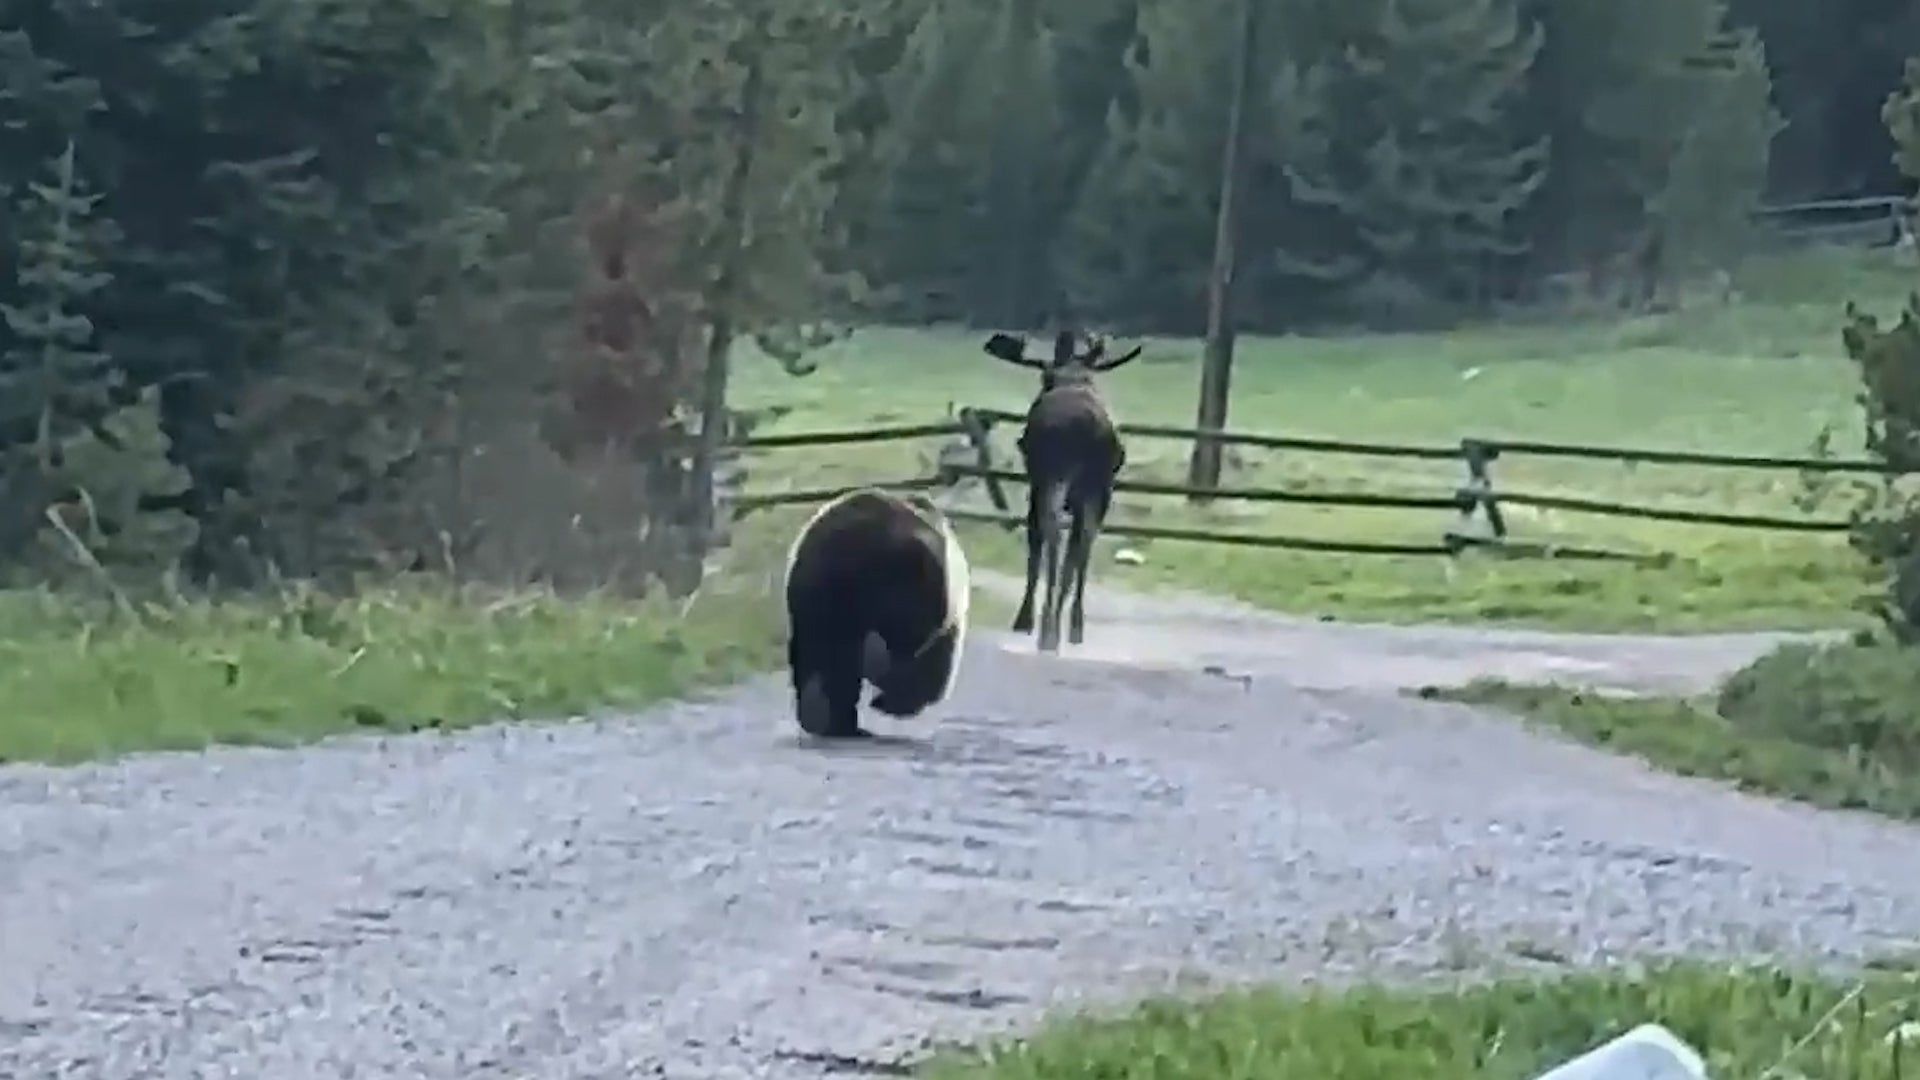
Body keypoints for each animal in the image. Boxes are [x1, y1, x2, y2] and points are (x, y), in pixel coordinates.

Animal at [983, 327, 1142, 653]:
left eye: (1043, 377)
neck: (1073, 375)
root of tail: (1089, 428)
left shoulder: (1036, 486)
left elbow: (1035, 547)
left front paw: (1024, 619)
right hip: (1098, 489)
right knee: (1083, 543)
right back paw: (1073, 625)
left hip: (1054, 479)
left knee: (1054, 533)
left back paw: (1047, 626)